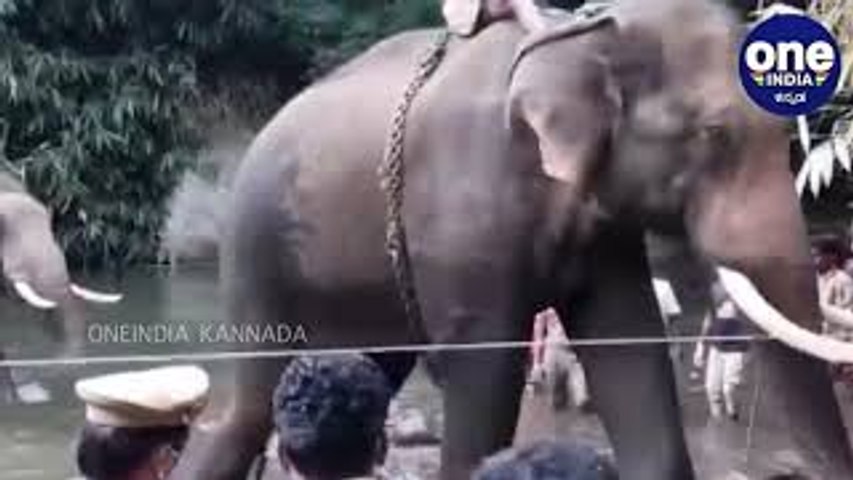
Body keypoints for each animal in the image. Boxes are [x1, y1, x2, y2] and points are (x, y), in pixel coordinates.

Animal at [171, 0, 853, 479]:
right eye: (713, 134)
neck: (583, 33)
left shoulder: (604, 228)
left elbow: (628, 344)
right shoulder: (462, 216)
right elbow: (486, 371)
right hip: (256, 252)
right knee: (247, 407)